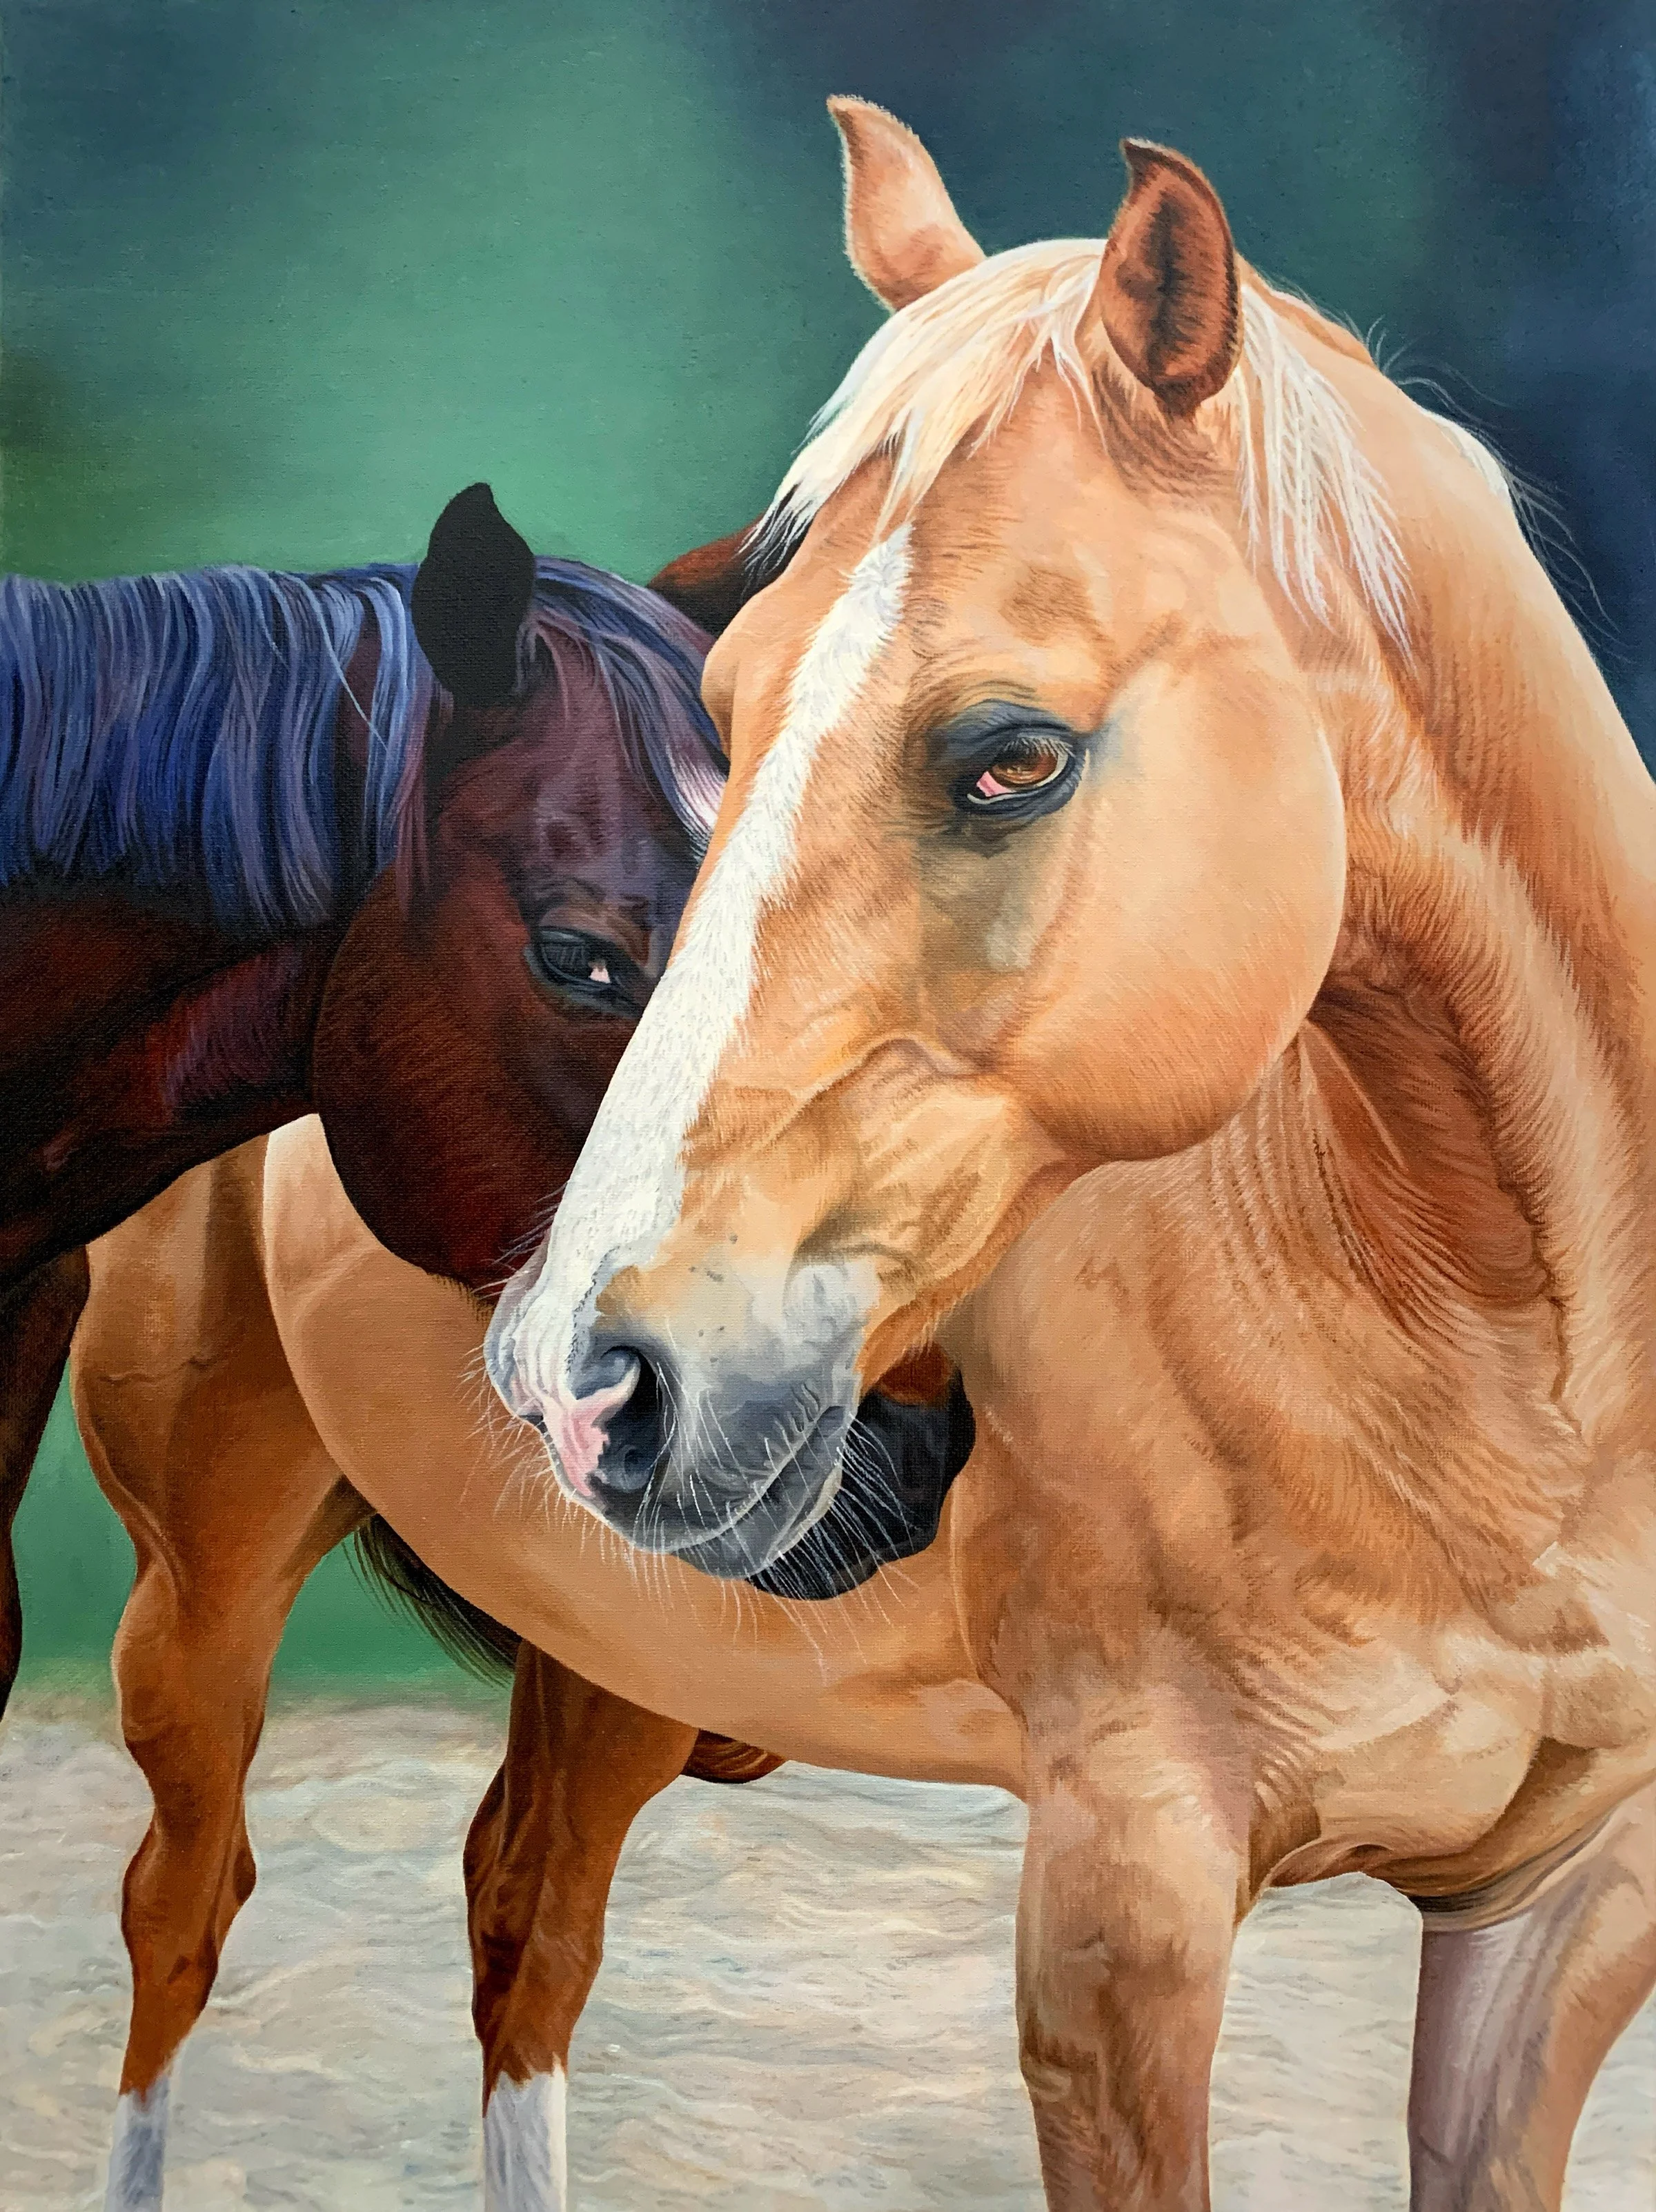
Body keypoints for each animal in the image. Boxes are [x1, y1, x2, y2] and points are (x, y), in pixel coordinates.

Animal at [460, 98, 1656, 2207]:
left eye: (1010, 754)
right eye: (726, 709)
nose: (582, 1371)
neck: (1504, 1363)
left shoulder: (1565, 1909)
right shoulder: (1122, 1903)